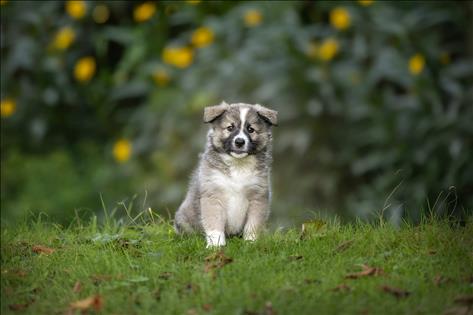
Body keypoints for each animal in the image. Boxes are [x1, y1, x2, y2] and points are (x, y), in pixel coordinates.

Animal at [173, 102, 276, 248]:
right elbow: (214, 223)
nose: (239, 142)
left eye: (251, 129)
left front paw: (250, 242)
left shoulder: (258, 197)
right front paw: (216, 244)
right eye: (230, 128)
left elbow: (253, 224)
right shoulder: (213, 195)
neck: (238, 166)